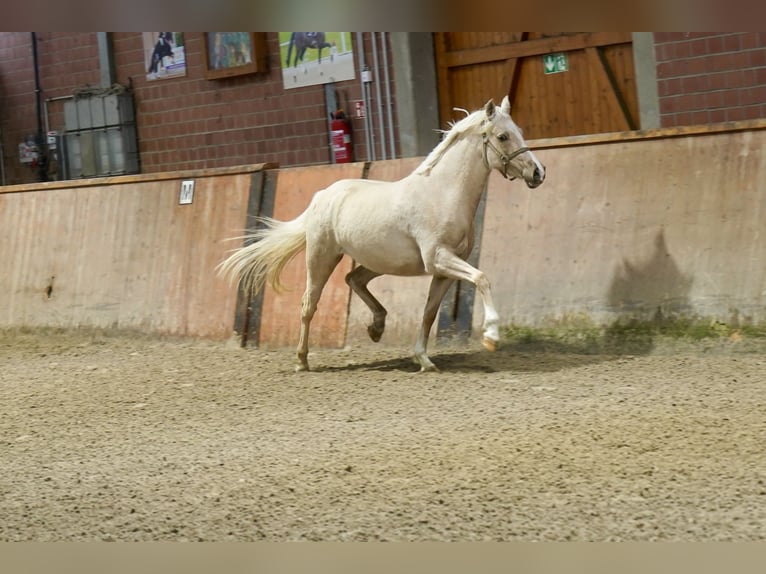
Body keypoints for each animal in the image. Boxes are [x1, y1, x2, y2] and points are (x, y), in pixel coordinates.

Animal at [218, 96, 546, 372]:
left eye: (518, 130)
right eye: (503, 136)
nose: (538, 173)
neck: (442, 193)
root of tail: (323, 195)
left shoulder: (442, 270)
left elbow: (429, 312)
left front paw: (424, 360)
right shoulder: (440, 258)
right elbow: (482, 278)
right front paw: (491, 337)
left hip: (378, 262)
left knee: (354, 279)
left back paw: (376, 328)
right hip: (321, 258)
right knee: (309, 304)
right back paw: (302, 361)